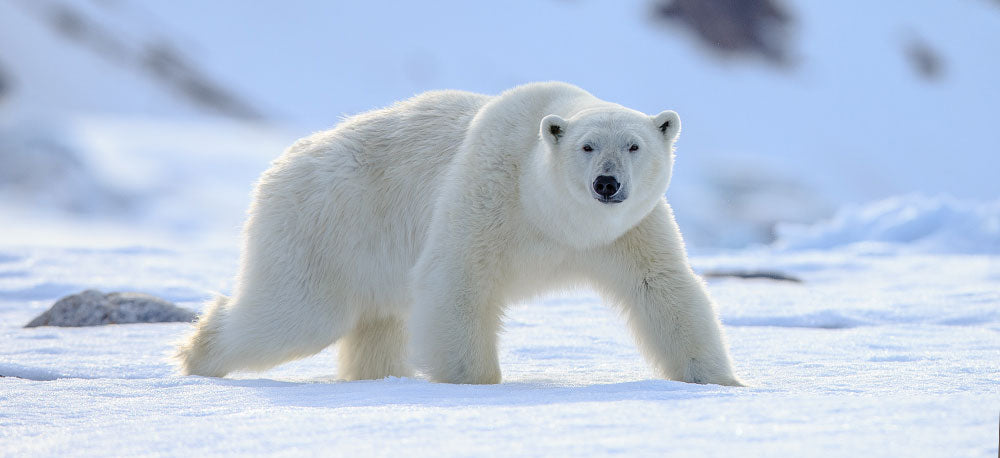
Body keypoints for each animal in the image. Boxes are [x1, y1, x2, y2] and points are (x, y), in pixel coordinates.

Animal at [178, 81, 744, 386]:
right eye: (587, 146)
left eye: (633, 145)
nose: (607, 184)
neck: (554, 218)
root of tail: (282, 163)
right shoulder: (488, 192)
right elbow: (457, 280)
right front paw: (475, 383)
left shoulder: (628, 232)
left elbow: (663, 289)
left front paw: (722, 381)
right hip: (325, 225)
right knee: (296, 314)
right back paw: (197, 355)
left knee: (376, 322)